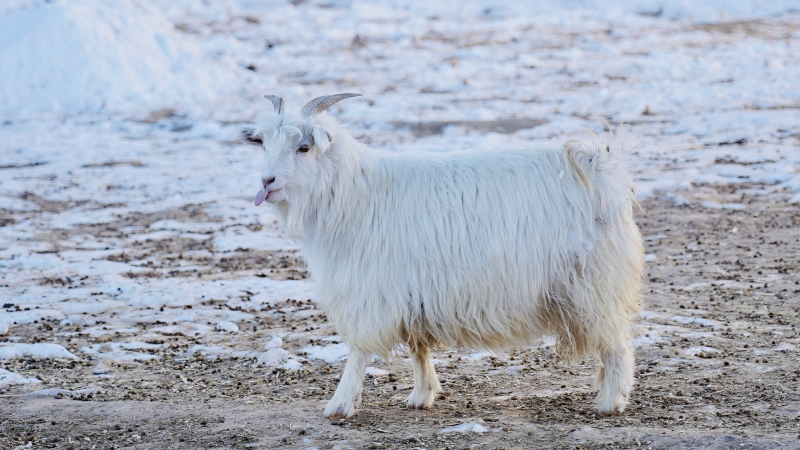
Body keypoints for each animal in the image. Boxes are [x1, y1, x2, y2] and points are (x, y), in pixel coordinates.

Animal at [242, 94, 644, 418]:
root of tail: (595, 166)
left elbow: (358, 351)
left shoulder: (371, 292)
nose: (266, 182)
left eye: (304, 147)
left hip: (594, 283)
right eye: (264, 144)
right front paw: (422, 395)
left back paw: (612, 402)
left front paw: (340, 404)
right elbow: (418, 347)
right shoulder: (413, 294)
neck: (352, 194)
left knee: (618, 344)